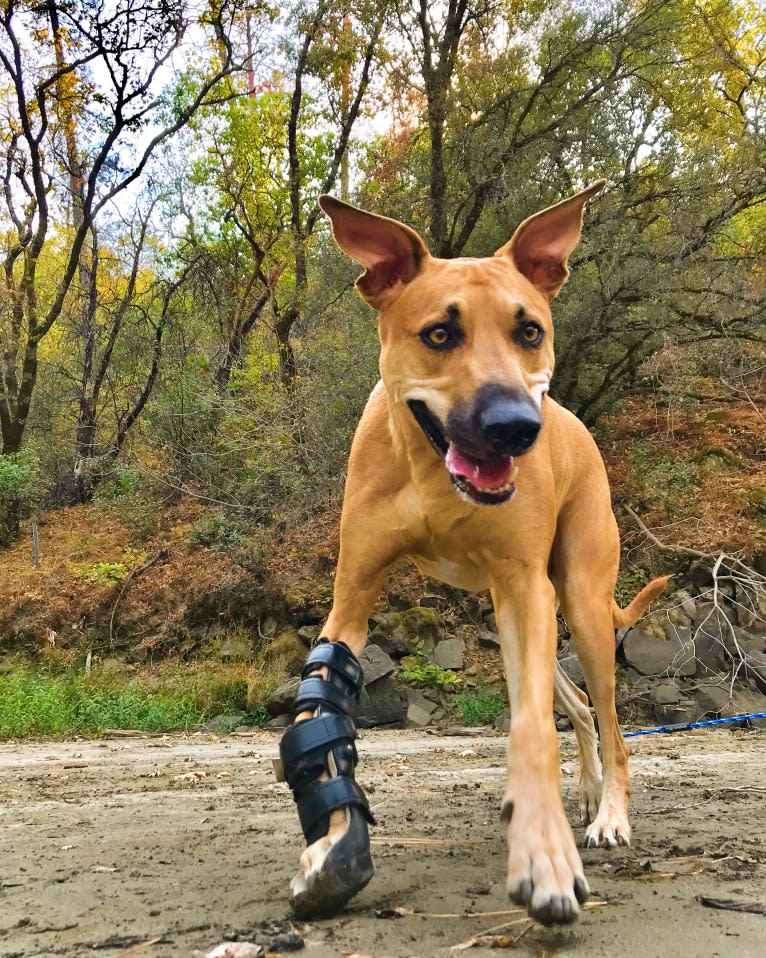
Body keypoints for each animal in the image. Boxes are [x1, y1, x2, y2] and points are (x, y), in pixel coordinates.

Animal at [280, 182, 668, 928]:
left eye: (530, 331)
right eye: (439, 334)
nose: (514, 426)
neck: (433, 474)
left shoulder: (527, 588)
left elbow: (532, 730)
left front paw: (545, 855)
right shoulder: (353, 594)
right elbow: (323, 704)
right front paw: (332, 847)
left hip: (578, 600)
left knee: (606, 716)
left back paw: (608, 814)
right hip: (512, 610)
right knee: (575, 702)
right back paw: (583, 791)